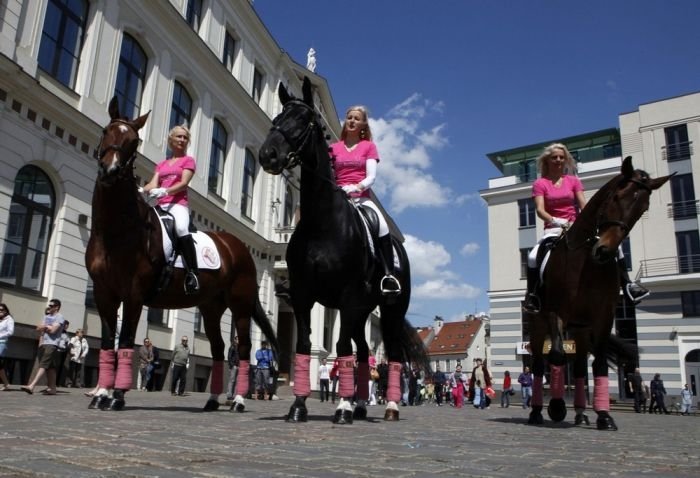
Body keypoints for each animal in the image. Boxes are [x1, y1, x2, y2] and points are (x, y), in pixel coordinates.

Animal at [85, 98, 276, 410]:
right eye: (106, 131)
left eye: (133, 140)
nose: (110, 171)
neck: (117, 231)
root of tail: (237, 247)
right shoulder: (104, 293)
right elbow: (105, 341)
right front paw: (101, 394)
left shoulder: (134, 294)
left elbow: (125, 341)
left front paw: (116, 397)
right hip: (211, 307)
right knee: (218, 348)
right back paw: (212, 400)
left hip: (240, 305)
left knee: (244, 348)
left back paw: (237, 400)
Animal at [260, 77, 430, 422]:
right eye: (277, 117)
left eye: (304, 120)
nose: (268, 154)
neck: (321, 224)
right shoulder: (303, 295)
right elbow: (304, 344)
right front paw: (299, 405)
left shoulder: (346, 297)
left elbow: (340, 348)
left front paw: (340, 407)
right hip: (363, 311)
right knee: (363, 351)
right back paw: (361, 404)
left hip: (389, 311)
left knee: (390, 353)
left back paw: (389, 407)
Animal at [532, 157, 672, 430]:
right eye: (617, 196)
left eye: (644, 207)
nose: (604, 251)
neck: (584, 261)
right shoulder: (555, 310)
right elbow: (556, 355)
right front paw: (556, 406)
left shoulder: (604, 315)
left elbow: (597, 364)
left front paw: (604, 416)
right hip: (539, 322)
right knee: (537, 364)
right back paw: (537, 410)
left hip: (581, 328)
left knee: (578, 367)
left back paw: (580, 412)